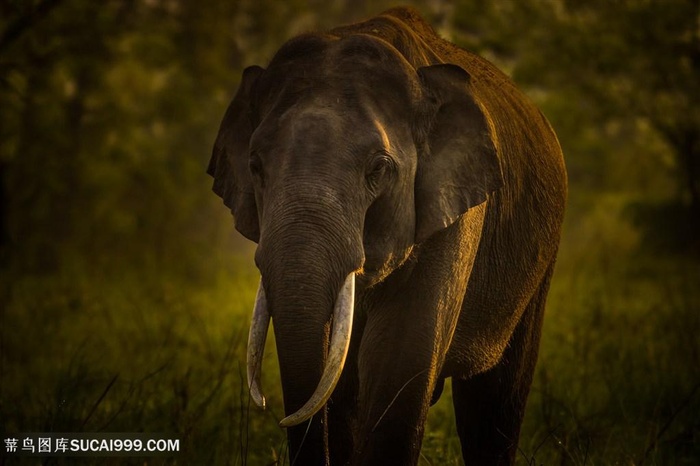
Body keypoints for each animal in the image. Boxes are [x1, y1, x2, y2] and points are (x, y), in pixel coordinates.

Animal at [209, 6, 568, 466]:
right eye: (255, 165)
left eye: (378, 168)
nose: (272, 409)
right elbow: (342, 377)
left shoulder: (455, 210)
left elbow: (398, 355)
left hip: (541, 260)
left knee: (495, 401)